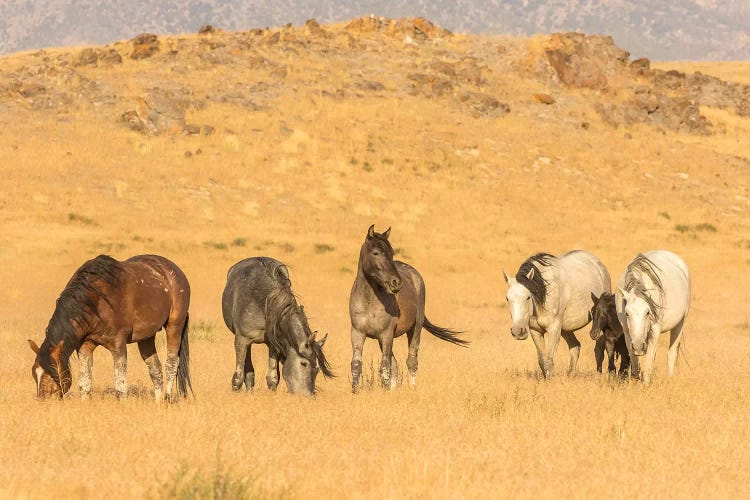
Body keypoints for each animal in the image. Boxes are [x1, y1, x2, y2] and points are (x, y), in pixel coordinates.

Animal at [28, 256, 194, 400]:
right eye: (34, 374)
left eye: (53, 372)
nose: (44, 400)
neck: (94, 301)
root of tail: (175, 272)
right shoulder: (85, 347)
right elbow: (85, 384)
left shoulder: (118, 346)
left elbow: (120, 385)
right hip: (146, 337)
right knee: (156, 371)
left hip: (174, 326)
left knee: (171, 364)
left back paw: (167, 399)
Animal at [220, 256, 332, 396]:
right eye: (303, 363)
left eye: (317, 369)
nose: (307, 396)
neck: (265, 304)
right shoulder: (241, 340)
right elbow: (238, 377)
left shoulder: (273, 344)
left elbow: (272, 377)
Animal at [350, 225, 468, 392]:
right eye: (376, 252)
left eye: (392, 252)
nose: (396, 283)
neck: (368, 300)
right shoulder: (358, 333)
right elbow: (356, 364)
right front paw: (355, 392)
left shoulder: (386, 334)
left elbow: (384, 367)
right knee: (395, 364)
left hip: (415, 328)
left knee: (411, 361)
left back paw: (412, 388)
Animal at [620, 250, 692, 382]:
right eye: (627, 313)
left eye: (648, 312)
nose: (638, 346)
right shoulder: (627, 334)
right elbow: (635, 366)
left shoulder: (655, 330)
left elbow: (647, 368)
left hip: (680, 324)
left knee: (672, 353)